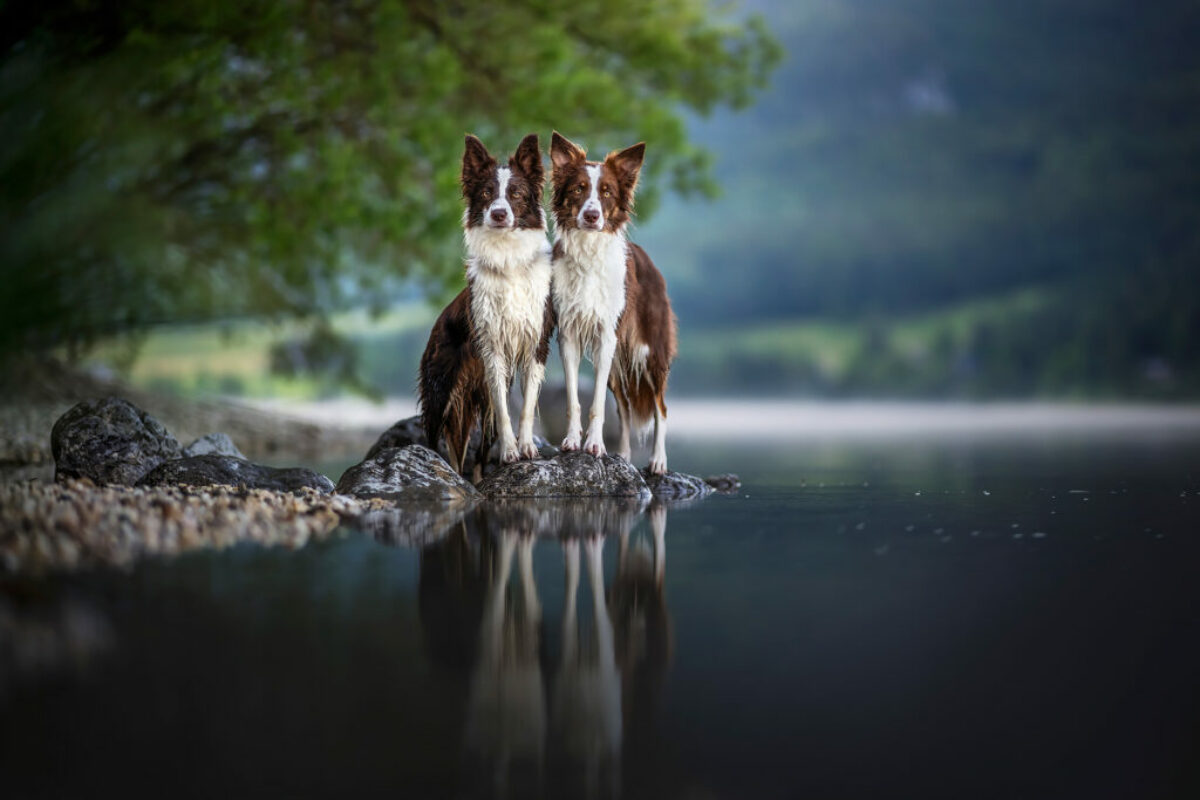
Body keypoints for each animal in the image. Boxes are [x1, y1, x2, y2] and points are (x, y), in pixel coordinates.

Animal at [420, 134, 554, 479]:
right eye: (486, 193)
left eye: (516, 194)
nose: (498, 214)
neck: (508, 262)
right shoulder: (492, 347)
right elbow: (505, 413)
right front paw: (509, 452)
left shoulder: (536, 344)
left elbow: (526, 407)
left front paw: (526, 448)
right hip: (441, 388)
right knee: (434, 439)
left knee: (478, 452)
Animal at [549, 131, 676, 474]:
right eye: (579, 189)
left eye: (606, 192)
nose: (592, 216)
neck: (588, 252)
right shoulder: (568, 334)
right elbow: (575, 399)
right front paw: (572, 441)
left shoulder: (606, 335)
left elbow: (596, 406)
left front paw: (594, 445)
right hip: (619, 368)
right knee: (625, 410)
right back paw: (625, 457)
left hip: (650, 354)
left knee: (661, 407)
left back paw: (658, 461)